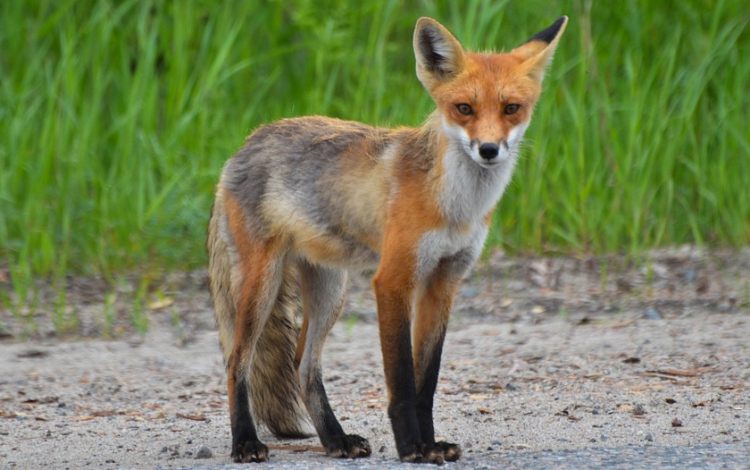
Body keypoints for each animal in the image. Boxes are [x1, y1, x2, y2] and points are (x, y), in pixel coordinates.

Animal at [209, 13, 568, 462]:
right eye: (464, 109)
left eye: (511, 109)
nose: (488, 149)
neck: (455, 208)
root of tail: (243, 145)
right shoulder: (394, 279)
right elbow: (402, 379)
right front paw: (412, 446)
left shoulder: (444, 281)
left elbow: (426, 382)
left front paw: (431, 443)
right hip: (263, 282)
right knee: (236, 360)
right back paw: (245, 441)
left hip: (330, 289)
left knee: (303, 364)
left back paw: (335, 439)